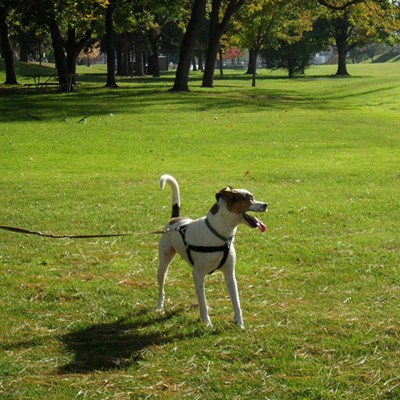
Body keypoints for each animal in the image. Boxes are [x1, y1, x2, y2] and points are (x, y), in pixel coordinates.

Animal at [156, 174, 268, 328]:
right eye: (249, 198)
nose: (266, 205)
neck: (219, 234)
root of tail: (175, 219)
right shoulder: (198, 273)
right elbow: (203, 301)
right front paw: (207, 323)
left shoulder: (229, 274)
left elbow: (236, 302)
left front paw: (239, 323)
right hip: (163, 265)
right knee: (162, 287)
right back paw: (159, 306)